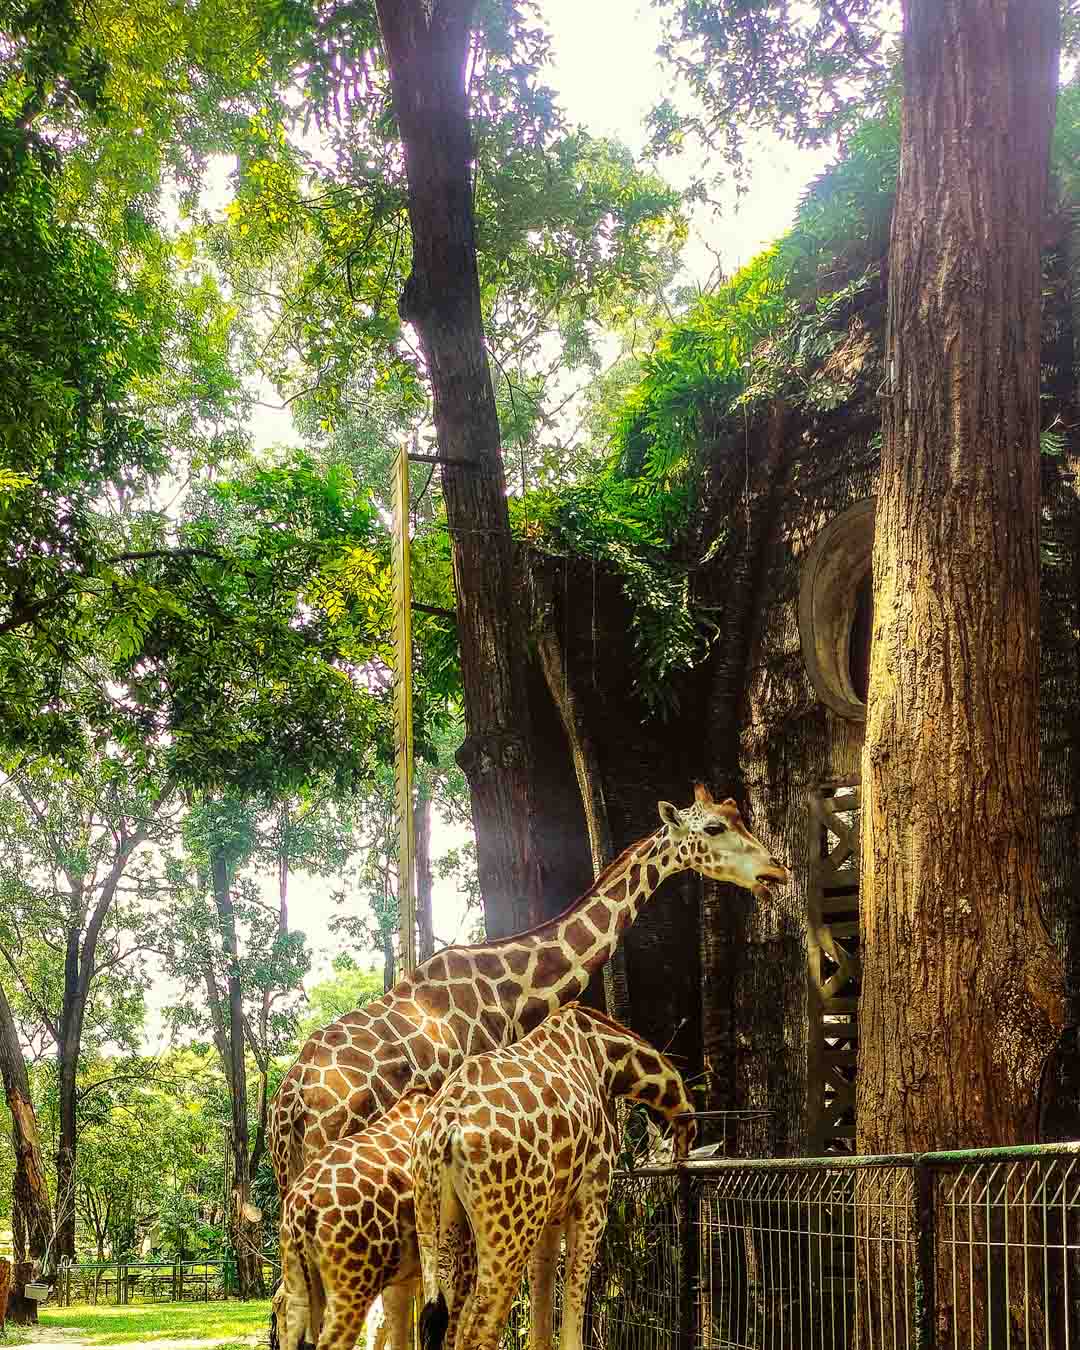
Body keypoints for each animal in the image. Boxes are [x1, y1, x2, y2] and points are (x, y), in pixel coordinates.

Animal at [270, 783, 783, 1204]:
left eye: (739, 818)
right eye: (714, 827)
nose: (774, 871)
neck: (513, 990)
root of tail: (290, 1103)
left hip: (287, 1172)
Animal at [410, 999, 696, 1350]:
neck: (609, 1057)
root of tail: (443, 1126)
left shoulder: (550, 1212)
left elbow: (541, 1312)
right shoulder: (593, 1197)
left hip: (436, 1219)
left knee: (444, 1318)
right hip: (510, 1230)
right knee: (479, 1329)